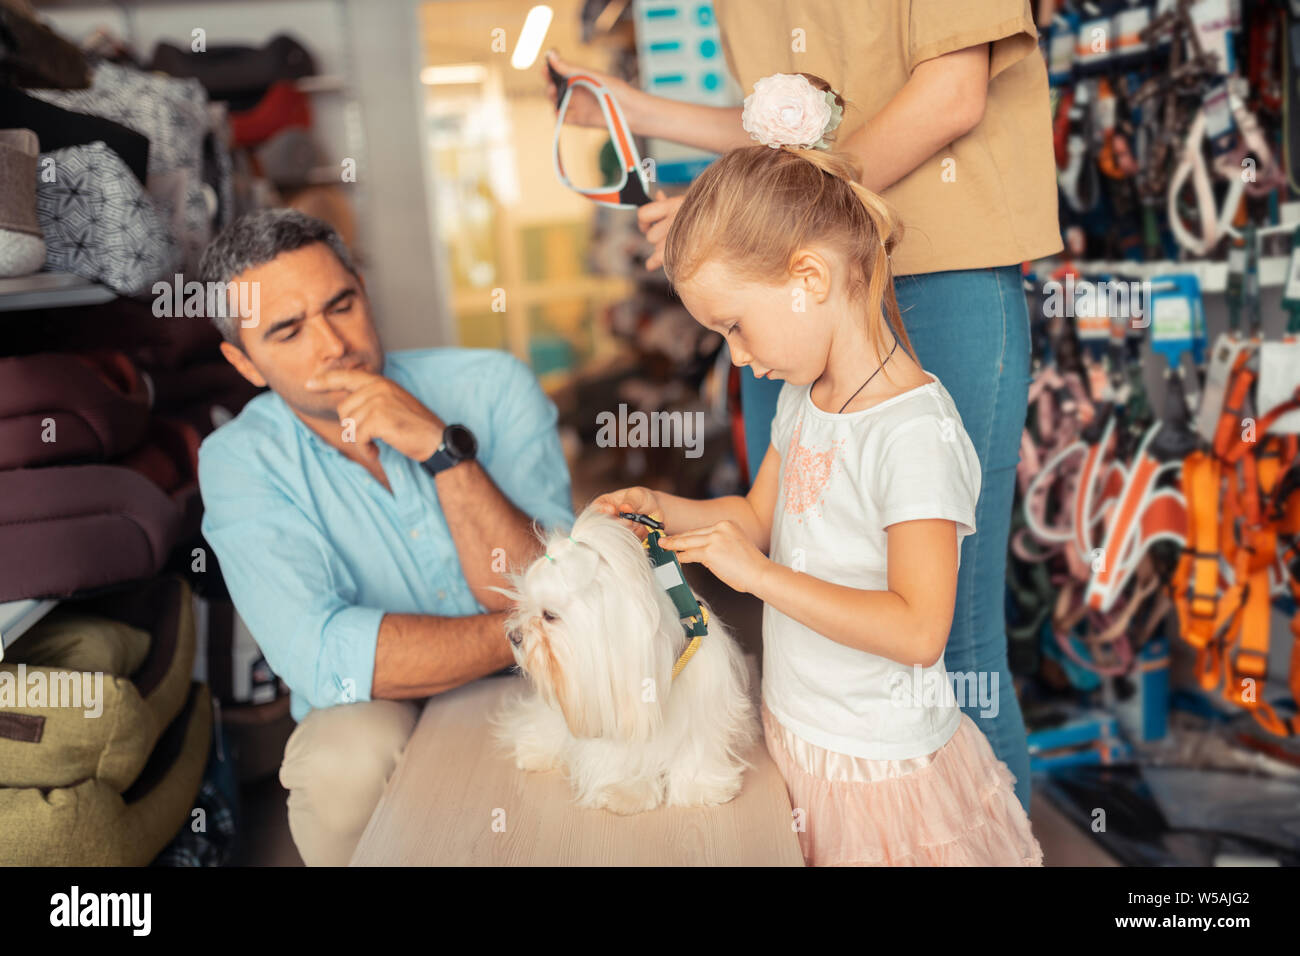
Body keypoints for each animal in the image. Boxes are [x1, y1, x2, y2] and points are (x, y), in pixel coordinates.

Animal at [493, 509, 759, 816]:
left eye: (549, 615)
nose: (514, 636)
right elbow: (623, 756)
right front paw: (626, 792)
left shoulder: (701, 709)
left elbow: (696, 748)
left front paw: (700, 790)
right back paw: (535, 752)